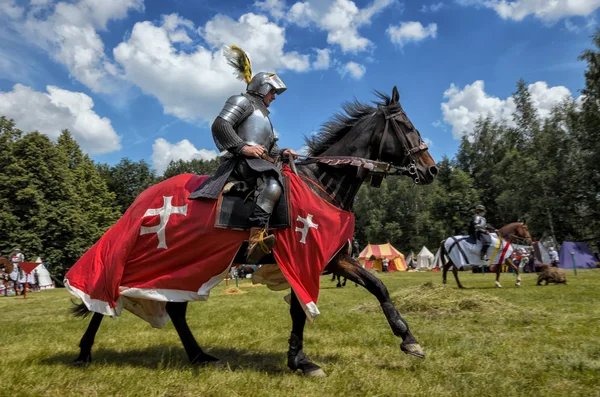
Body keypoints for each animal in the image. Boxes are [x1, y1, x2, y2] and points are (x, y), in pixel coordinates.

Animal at [70, 86, 438, 374]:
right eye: (406, 126)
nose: (430, 169)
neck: (322, 184)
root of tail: (141, 201)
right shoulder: (301, 259)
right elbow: (299, 310)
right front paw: (301, 361)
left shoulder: (333, 260)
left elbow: (378, 287)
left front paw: (409, 340)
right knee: (108, 292)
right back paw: (84, 351)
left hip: (188, 266)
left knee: (174, 308)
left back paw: (199, 355)